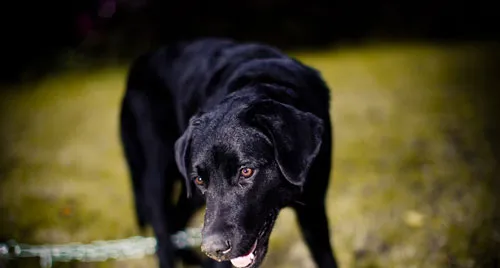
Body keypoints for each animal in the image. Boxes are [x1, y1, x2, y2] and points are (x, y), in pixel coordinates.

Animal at [119, 38, 338, 268]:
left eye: (246, 171)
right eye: (199, 179)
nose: (213, 250)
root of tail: (140, 61)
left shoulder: (314, 208)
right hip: (157, 178)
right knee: (163, 236)